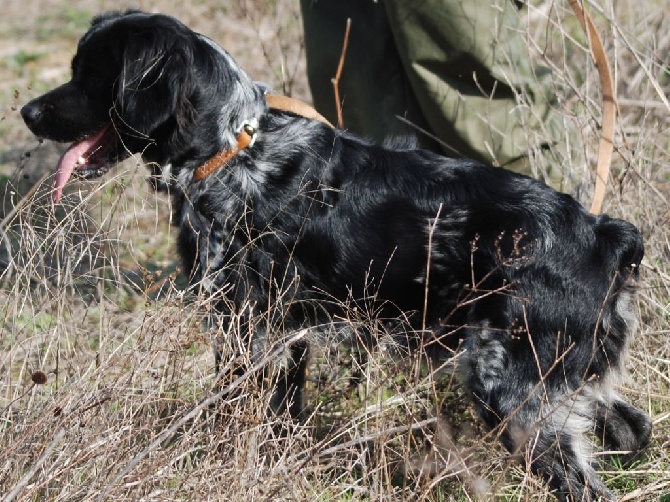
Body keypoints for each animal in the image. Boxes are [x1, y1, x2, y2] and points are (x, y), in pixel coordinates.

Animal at [19, 9, 652, 500]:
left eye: (89, 76)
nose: (26, 112)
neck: (231, 151)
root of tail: (605, 234)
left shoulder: (247, 327)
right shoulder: (286, 336)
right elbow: (280, 418)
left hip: (515, 398)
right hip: (565, 389)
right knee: (635, 429)